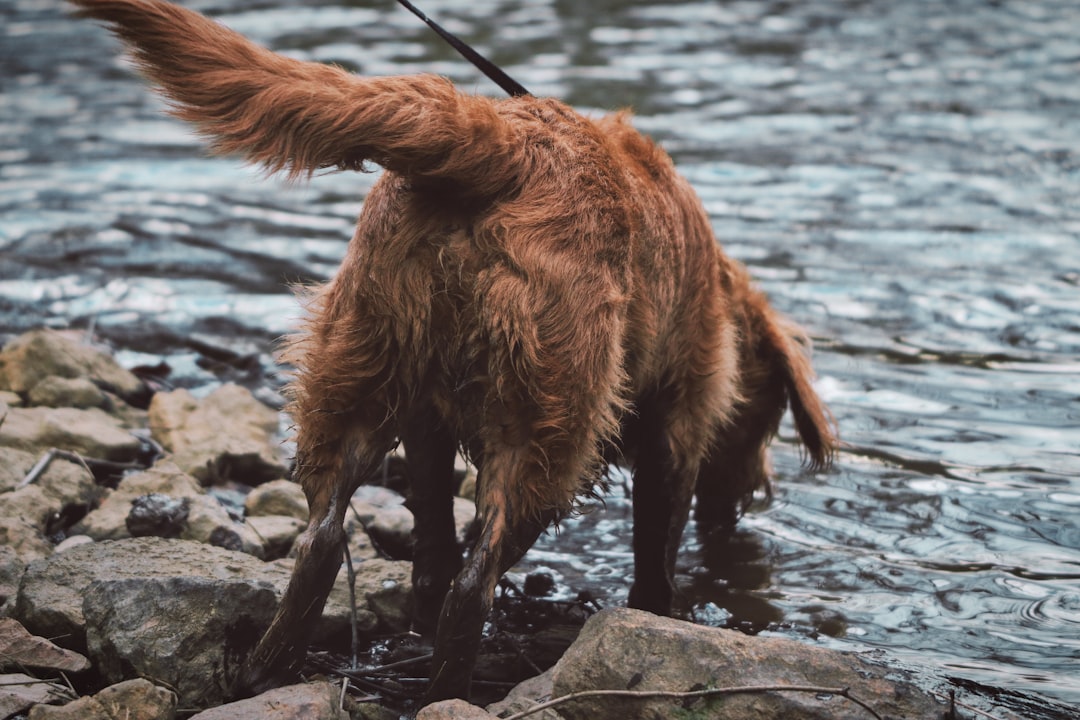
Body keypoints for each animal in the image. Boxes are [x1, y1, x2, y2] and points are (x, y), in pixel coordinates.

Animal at [73, 0, 833, 703]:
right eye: (767, 420)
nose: (750, 498)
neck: (721, 292)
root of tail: (503, 146)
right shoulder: (678, 424)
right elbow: (655, 552)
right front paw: (657, 616)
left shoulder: (427, 422)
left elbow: (435, 532)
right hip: (548, 425)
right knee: (475, 580)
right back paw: (447, 689)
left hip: (363, 367)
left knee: (330, 542)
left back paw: (270, 667)